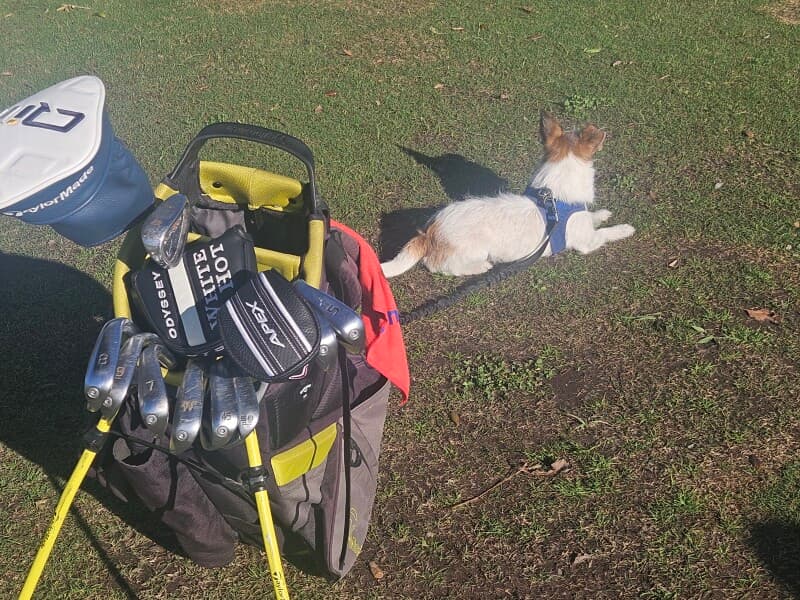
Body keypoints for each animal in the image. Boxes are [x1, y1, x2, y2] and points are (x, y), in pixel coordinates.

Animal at [381, 113, 635, 277]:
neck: (554, 198)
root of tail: (428, 234)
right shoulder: (588, 242)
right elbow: (606, 233)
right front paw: (624, 229)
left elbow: (592, 217)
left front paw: (601, 214)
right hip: (473, 251)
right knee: (441, 267)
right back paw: (478, 267)